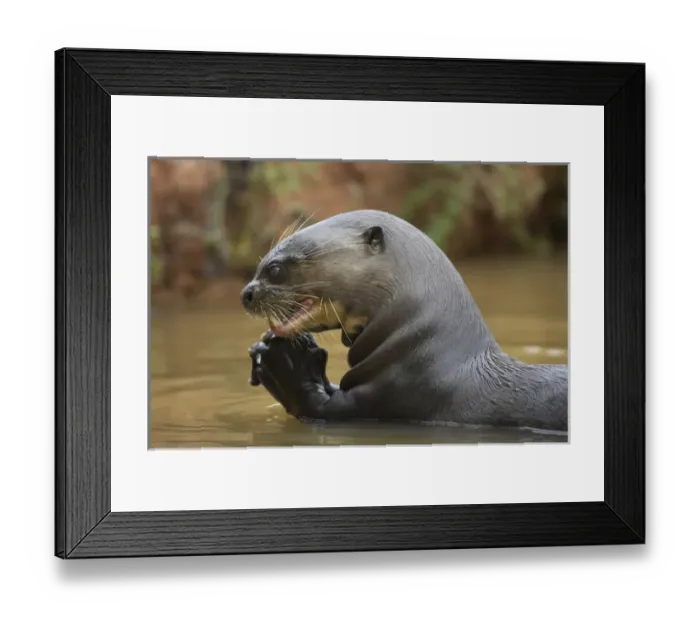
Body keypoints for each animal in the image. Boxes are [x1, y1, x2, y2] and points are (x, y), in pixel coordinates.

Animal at [240, 209, 568, 434]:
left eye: (275, 269)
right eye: (261, 265)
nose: (246, 293)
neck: (425, 350)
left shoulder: (393, 394)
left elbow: (316, 406)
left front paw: (285, 361)